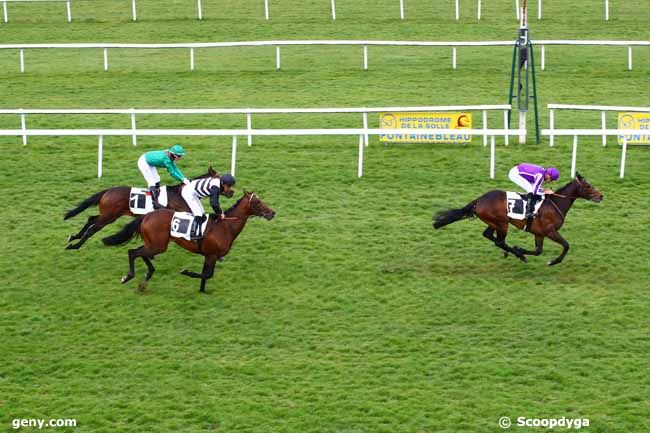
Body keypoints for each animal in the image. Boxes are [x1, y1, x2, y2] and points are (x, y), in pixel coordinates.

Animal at [64, 167, 220, 251]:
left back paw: (74, 237)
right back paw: (75, 245)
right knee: (93, 228)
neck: (181, 193)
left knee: (91, 219)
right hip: (108, 216)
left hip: (109, 215)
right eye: (220, 179)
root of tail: (108, 191)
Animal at [100, 192, 274, 290]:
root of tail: (146, 215)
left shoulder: (209, 256)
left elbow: (206, 275)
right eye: (257, 202)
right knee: (133, 252)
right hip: (158, 246)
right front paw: (186, 272)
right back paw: (128, 276)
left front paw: (202, 291)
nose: (272, 213)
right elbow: (207, 275)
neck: (225, 226)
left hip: (154, 244)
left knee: (140, 253)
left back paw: (148, 274)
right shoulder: (212, 255)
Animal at [430, 171, 604, 264]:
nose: (601, 196)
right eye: (588, 186)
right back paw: (518, 254)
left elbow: (538, 251)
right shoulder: (550, 231)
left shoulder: (539, 233)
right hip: (502, 223)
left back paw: (512, 252)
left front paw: (521, 250)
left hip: (494, 222)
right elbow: (566, 245)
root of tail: (479, 200)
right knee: (499, 241)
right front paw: (552, 261)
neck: (555, 203)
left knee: (488, 235)